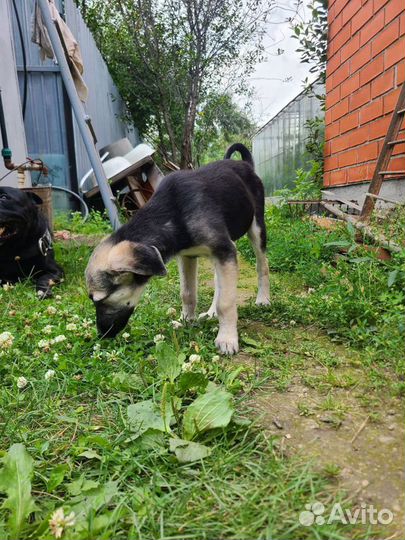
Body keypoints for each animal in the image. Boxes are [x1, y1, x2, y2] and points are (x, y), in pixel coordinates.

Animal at [85, 143, 268, 354]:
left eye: (99, 299)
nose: (101, 335)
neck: (172, 215)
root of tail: (246, 165)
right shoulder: (189, 256)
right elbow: (188, 293)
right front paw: (186, 321)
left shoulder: (224, 251)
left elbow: (227, 302)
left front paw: (227, 338)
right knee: (219, 281)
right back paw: (211, 312)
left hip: (256, 228)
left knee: (262, 266)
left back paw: (263, 299)